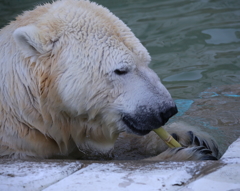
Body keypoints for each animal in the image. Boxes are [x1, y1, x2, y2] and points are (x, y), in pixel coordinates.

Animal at [0, 0, 219, 160]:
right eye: (121, 70)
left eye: (146, 61)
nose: (167, 110)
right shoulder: (20, 147)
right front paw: (185, 155)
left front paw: (192, 136)